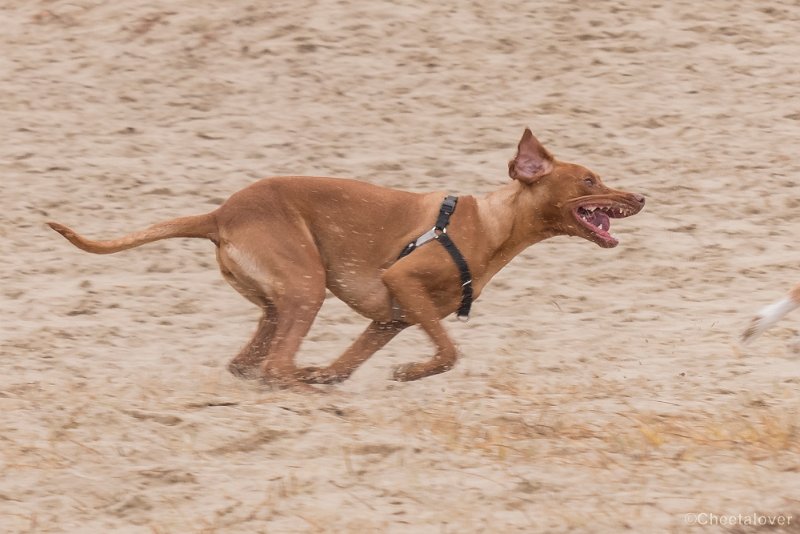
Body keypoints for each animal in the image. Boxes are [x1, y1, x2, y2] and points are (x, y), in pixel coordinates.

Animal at [48, 130, 644, 390]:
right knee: (275, 366)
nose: (641, 196)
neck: (493, 225)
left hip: (279, 302)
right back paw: (298, 387)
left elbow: (347, 363)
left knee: (252, 363)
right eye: (589, 180)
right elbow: (449, 352)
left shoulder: (391, 318)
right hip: (307, 285)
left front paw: (333, 374)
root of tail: (220, 213)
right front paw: (409, 371)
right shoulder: (403, 281)